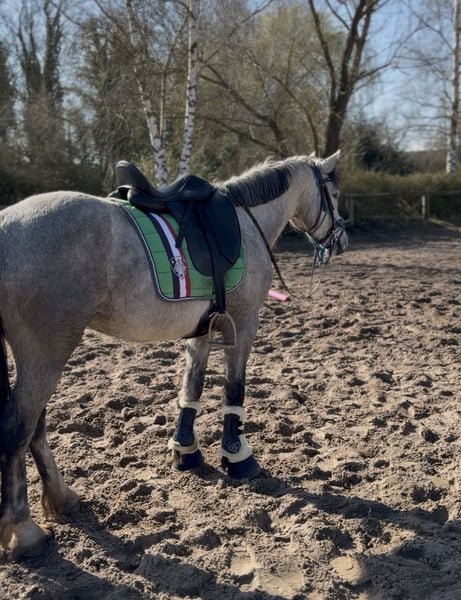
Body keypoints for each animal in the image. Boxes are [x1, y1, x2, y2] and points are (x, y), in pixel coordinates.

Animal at [0, 152, 347, 558]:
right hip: (46, 354)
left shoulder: (203, 329)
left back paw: (61, 498)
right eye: (334, 194)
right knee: (18, 428)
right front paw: (238, 458)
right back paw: (24, 529)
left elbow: (191, 389)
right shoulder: (244, 324)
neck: (248, 219)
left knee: (35, 427)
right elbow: (235, 390)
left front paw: (186, 452)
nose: (341, 239)